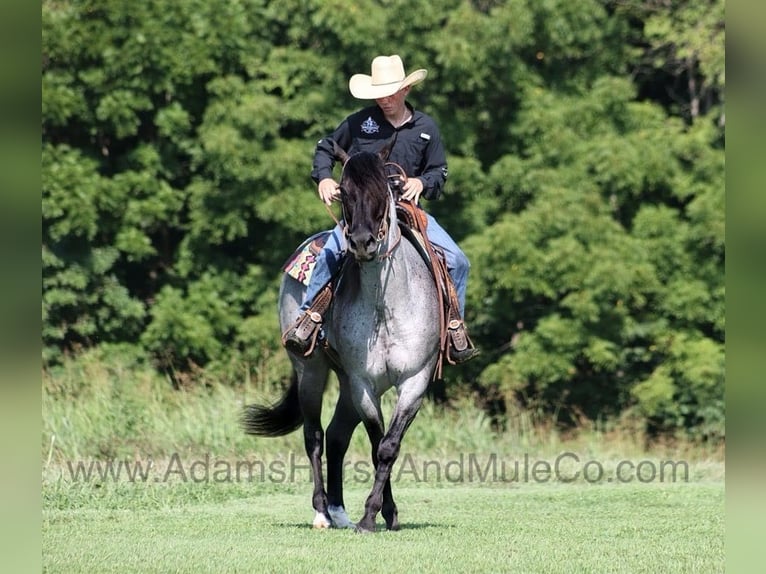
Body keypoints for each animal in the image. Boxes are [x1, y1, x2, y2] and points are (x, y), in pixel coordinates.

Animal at [242, 143, 440, 532]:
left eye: (383, 190)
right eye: (344, 193)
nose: (362, 242)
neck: (385, 306)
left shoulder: (414, 380)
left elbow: (388, 446)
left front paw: (382, 514)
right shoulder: (365, 383)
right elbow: (378, 444)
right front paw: (374, 514)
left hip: (346, 382)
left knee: (336, 437)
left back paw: (338, 511)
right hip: (312, 371)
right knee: (315, 437)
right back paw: (322, 512)